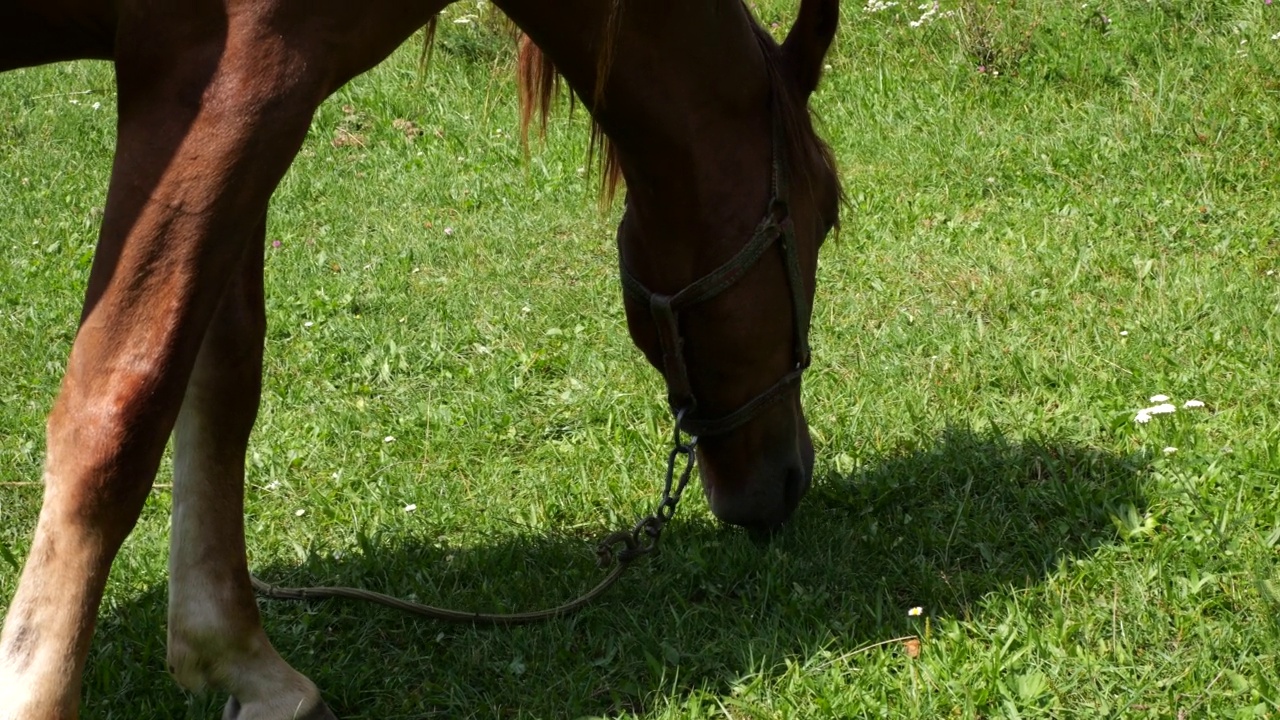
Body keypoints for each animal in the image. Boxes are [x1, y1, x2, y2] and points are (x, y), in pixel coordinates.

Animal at [0, 0, 844, 712]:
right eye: (830, 213)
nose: (791, 475)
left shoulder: (251, 114)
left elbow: (223, 379)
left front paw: (236, 657)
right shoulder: (218, 84)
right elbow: (121, 407)